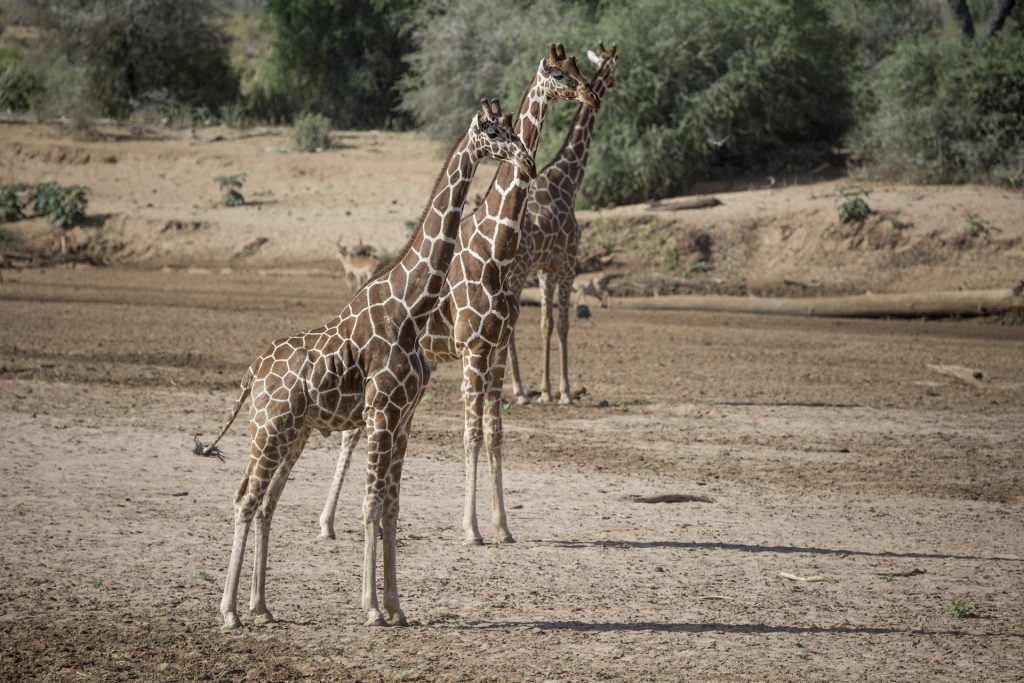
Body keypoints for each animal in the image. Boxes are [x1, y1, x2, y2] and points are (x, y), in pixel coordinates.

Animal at [199, 101, 536, 630]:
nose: (529, 162)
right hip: (267, 428)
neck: (410, 306)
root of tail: (253, 373)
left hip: (293, 432)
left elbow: (393, 506)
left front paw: (397, 606)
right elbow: (371, 503)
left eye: (513, 129)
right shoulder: (380, 413)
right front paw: (373, 607)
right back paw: (230, 611)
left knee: (268, 502)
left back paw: (262, 606)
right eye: (496, 132)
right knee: (246, 497)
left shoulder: (403, 418)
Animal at [315, 42, 598, 548]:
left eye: (580, 69)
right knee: (352, 432)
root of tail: (356, 296)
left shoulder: (497, 348)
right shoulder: (472, 349)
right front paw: (471, 529)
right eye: (558, 75)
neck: (496, 248)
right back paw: (327, 522)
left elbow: (496, 432)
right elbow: (470, 434)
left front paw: (503, 527)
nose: (591, 95)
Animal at [507, 44, 618, 405]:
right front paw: (565, 391)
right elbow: (565, 324)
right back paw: (518, 390)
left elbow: (547, 323)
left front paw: (546, 389)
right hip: (517, 272)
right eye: (613, 66)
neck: (568, 181)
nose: (594, 95)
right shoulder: (568, 264)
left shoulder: (547, 270)